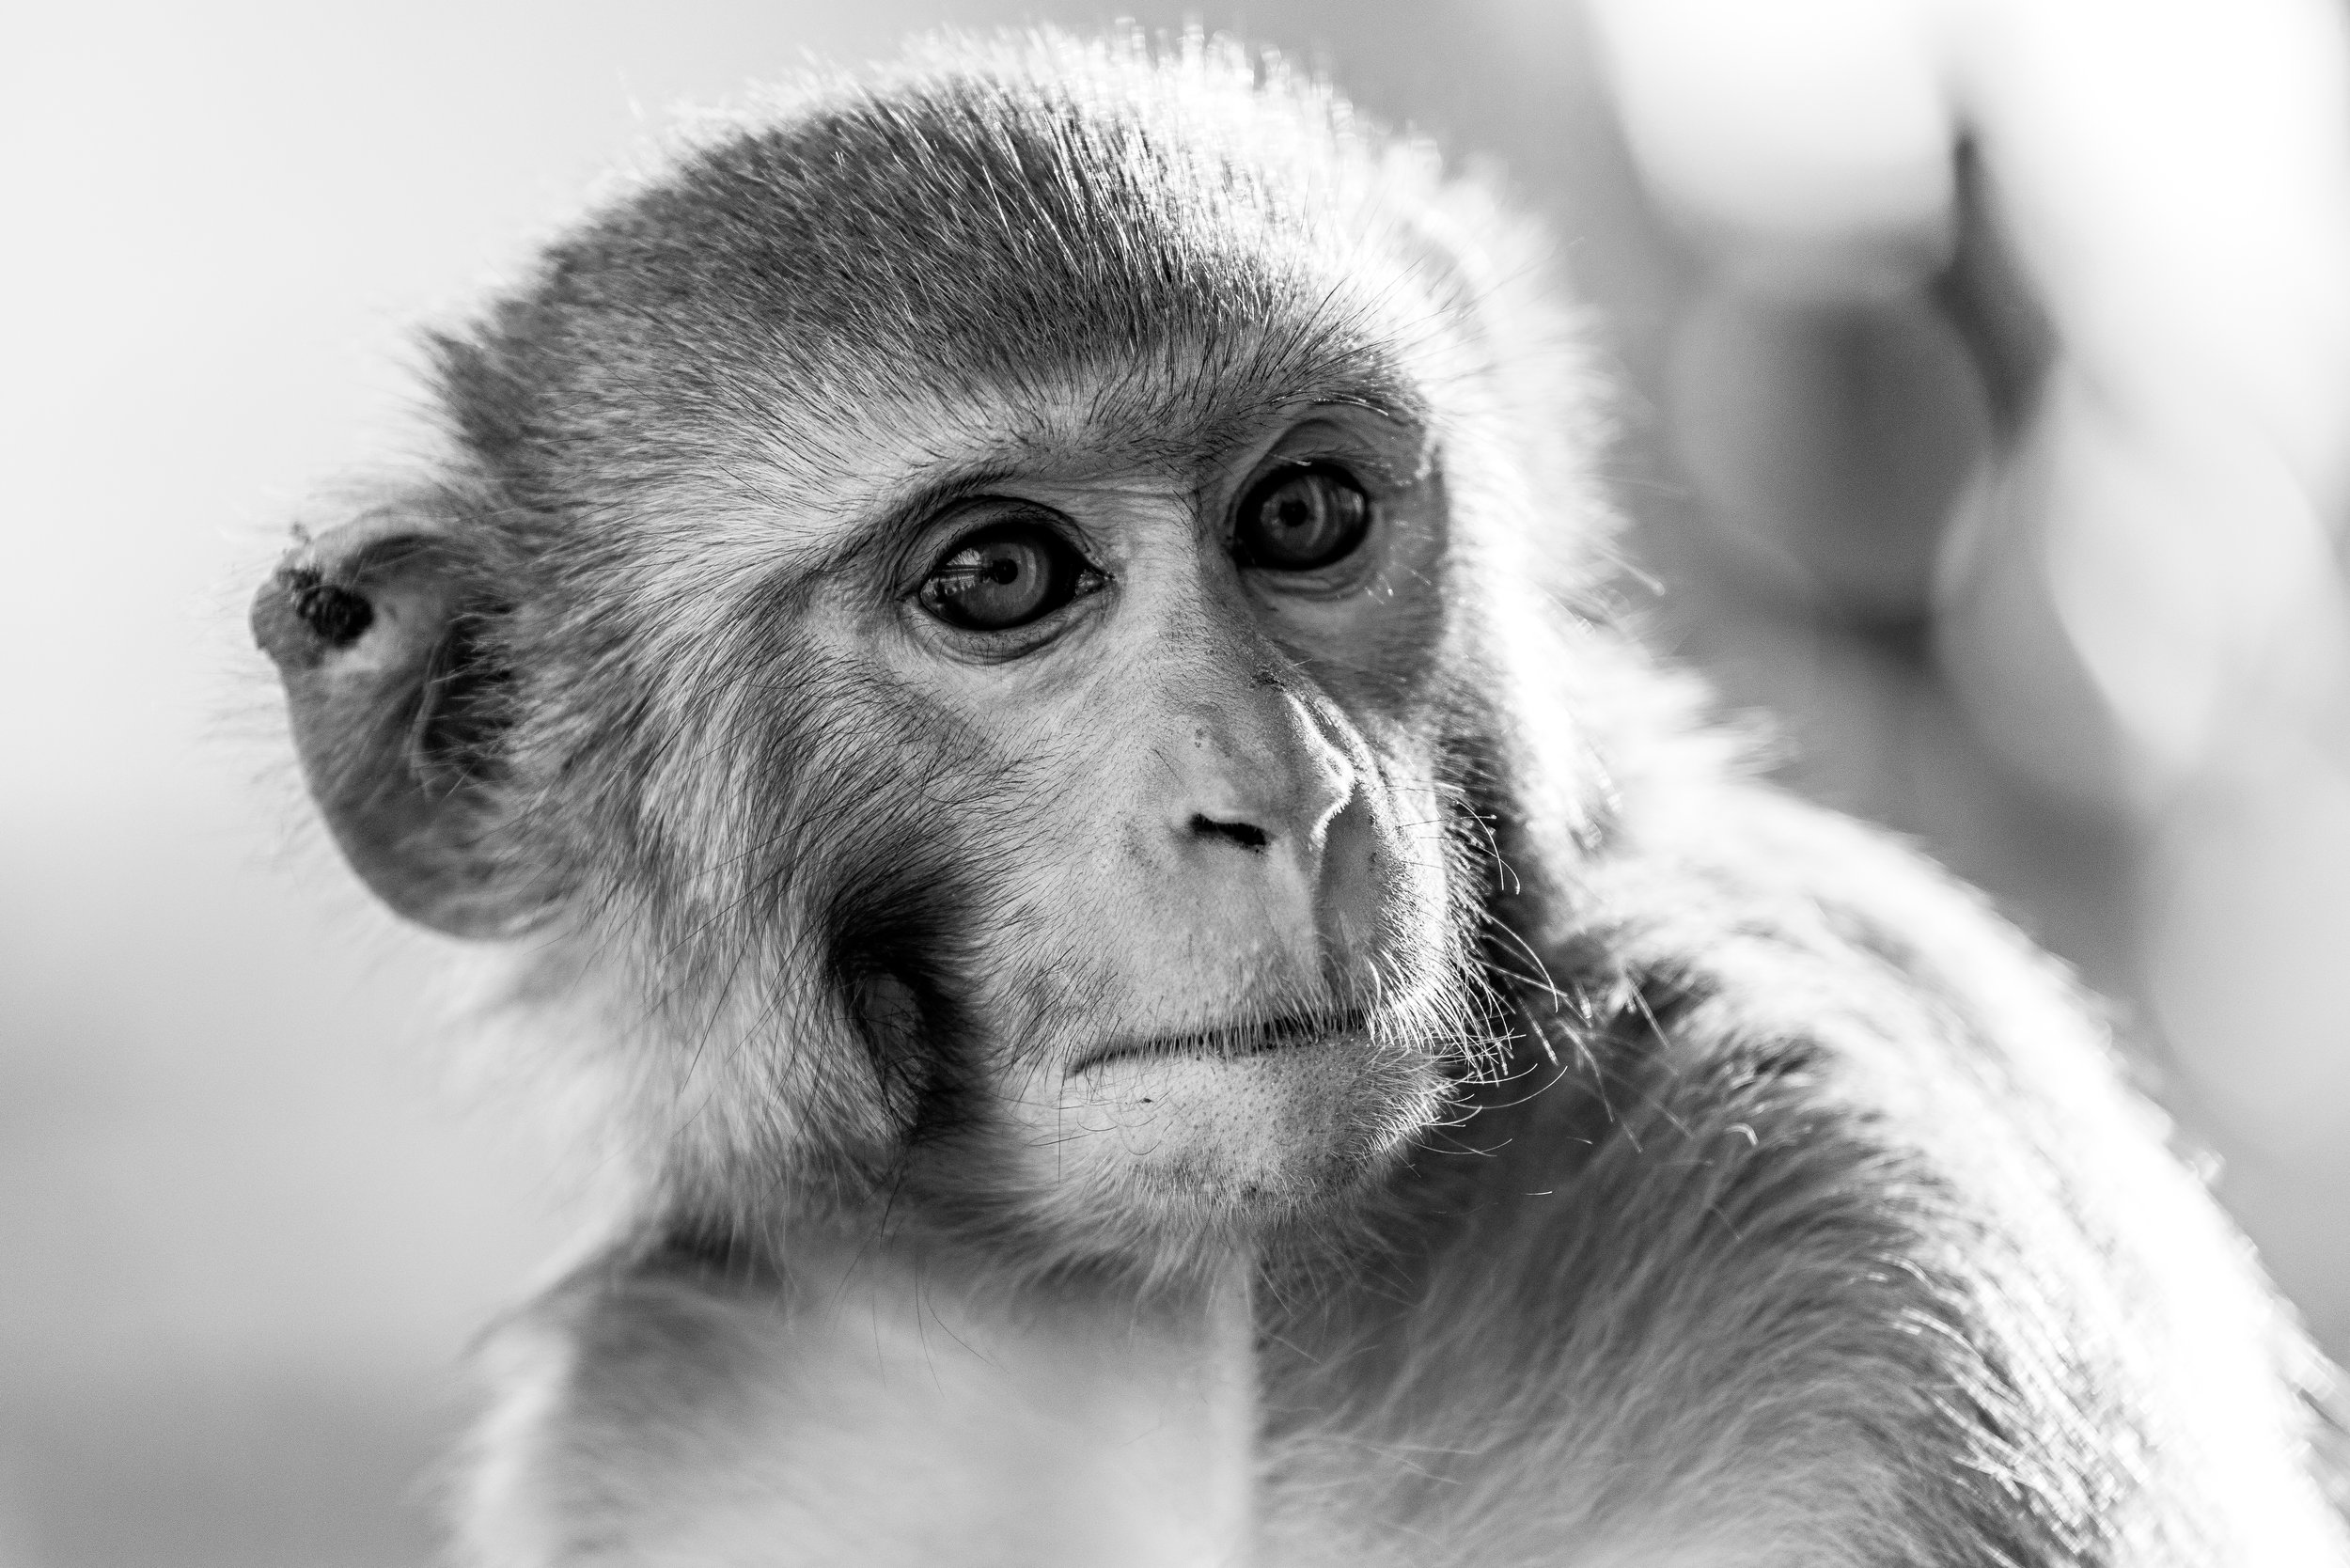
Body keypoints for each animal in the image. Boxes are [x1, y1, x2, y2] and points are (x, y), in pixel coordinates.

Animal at [251, 30, 2347, 1568]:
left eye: (1305, 515)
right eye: (996, 576)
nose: (1286, 796)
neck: (1200, 1323)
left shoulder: (1868, 1195)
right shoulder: (683, 1407)